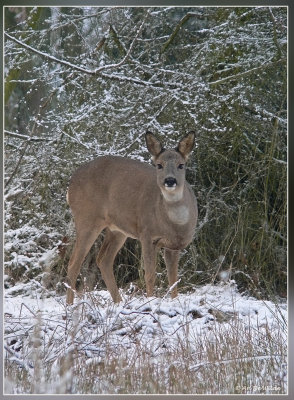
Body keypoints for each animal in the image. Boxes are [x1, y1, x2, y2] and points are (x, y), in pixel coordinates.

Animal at [66, 131, 198, 304]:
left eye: (181, 165)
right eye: (159, 165)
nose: (170, 180)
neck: (175, 225)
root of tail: (70, 183)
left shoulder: (174, 245)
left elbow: (173, 279)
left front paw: (174, 301)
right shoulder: (147, 234)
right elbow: (150, 275)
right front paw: (150, 301)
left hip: (117, 230)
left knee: (103, 259)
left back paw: (118, 302)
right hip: (86, 218)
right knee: (73, 263)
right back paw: (69, 305)